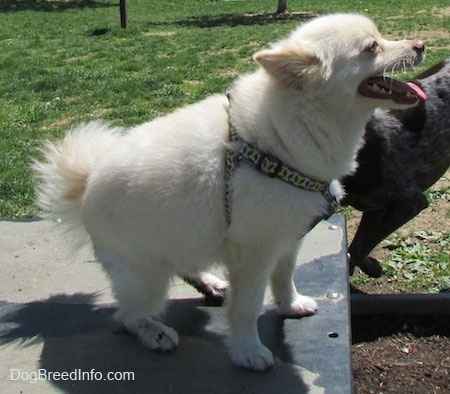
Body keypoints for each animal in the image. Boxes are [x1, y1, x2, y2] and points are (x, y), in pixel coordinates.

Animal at [35, 12, 426, 370]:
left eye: (380, 35)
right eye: (372, 47)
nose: (421, 45)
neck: (287, 132)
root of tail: (86, 181)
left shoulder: (288, 237)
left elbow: (284, 277)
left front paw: (290, 305)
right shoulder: (253, 253)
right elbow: (246, 308)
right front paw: (248, 352)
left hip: (183, 238)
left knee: (180, 268)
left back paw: (210, 281)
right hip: (147, 276)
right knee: (127, 316)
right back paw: (155, 332)